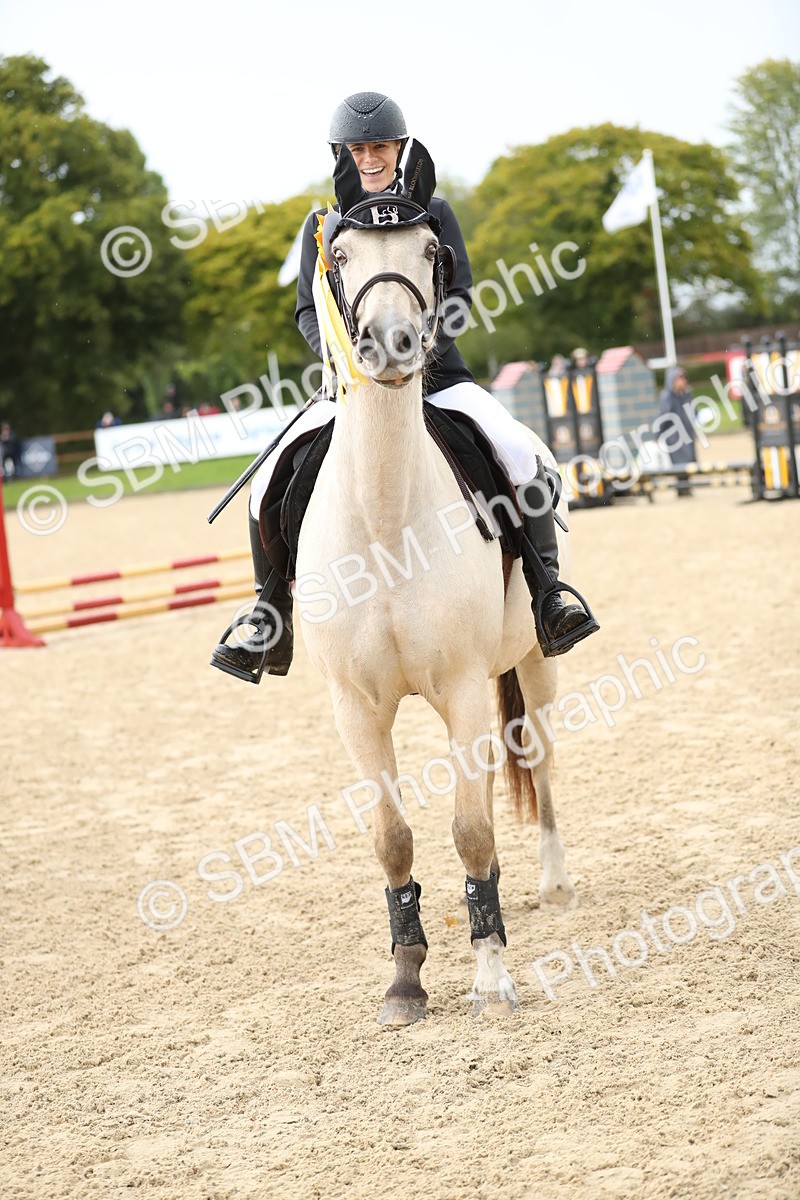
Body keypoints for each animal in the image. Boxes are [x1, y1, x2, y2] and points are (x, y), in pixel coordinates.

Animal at [293, 150, 577, 1025]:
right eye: (339, 256)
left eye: (430, 251)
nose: (392, 343)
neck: (386, 518)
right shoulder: (355, 707)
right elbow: (394, 838)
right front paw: (406, 979)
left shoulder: (457, 688)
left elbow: (472, 831)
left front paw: (490, 977)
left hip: (534, 662)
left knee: (539, 759)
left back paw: (552, 882)